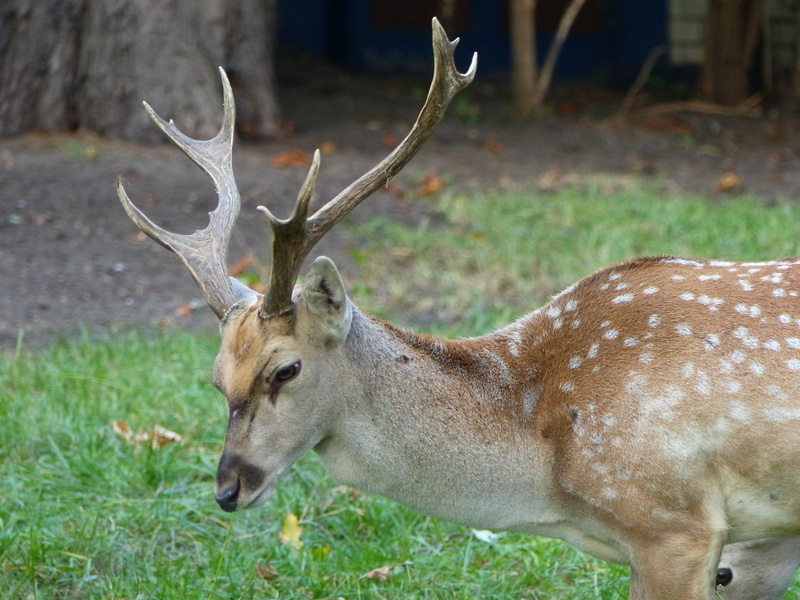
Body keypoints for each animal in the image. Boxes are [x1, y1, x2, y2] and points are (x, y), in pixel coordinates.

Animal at [117, 17, 800, 600]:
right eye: (215, 377)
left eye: (286, 368)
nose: (227, 488)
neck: (549, 475)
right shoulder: (743, 545)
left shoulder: (673, 521)